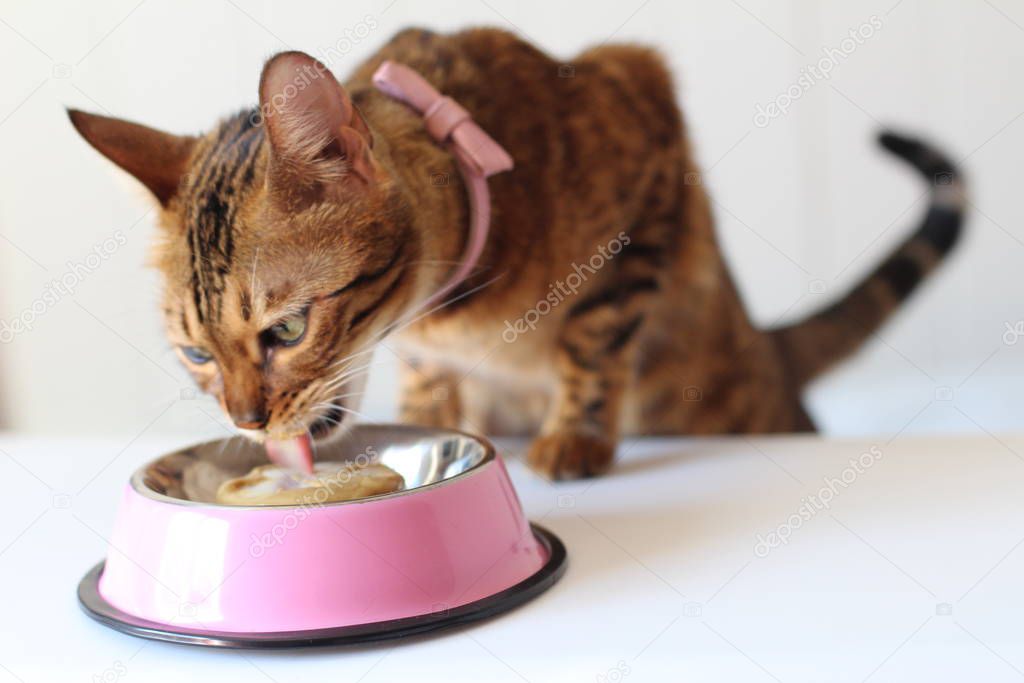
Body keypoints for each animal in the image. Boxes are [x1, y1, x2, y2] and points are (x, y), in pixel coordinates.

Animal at [68, 28, 962, 481]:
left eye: (285, 331)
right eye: (195, 353)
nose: (245, 422)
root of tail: (766, 346)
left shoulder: (647, 129)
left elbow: (594, 336)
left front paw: (575, 436)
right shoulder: (428, 350)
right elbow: (433, 390)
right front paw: (432, 419)